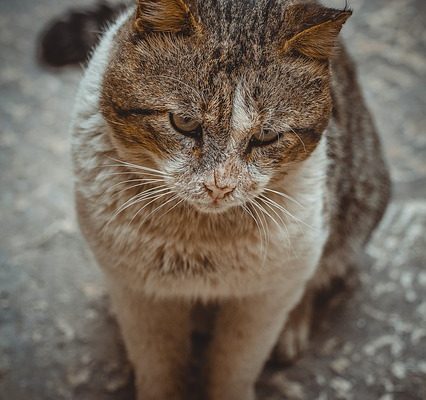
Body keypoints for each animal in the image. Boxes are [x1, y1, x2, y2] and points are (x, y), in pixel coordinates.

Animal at [70, 0, 390, 400]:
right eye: (184, 122)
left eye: (267, 136)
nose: (219, 186)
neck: (199, 242)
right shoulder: (139, 294)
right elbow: (158, 366)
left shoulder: (266, 296)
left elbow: (235, 365)